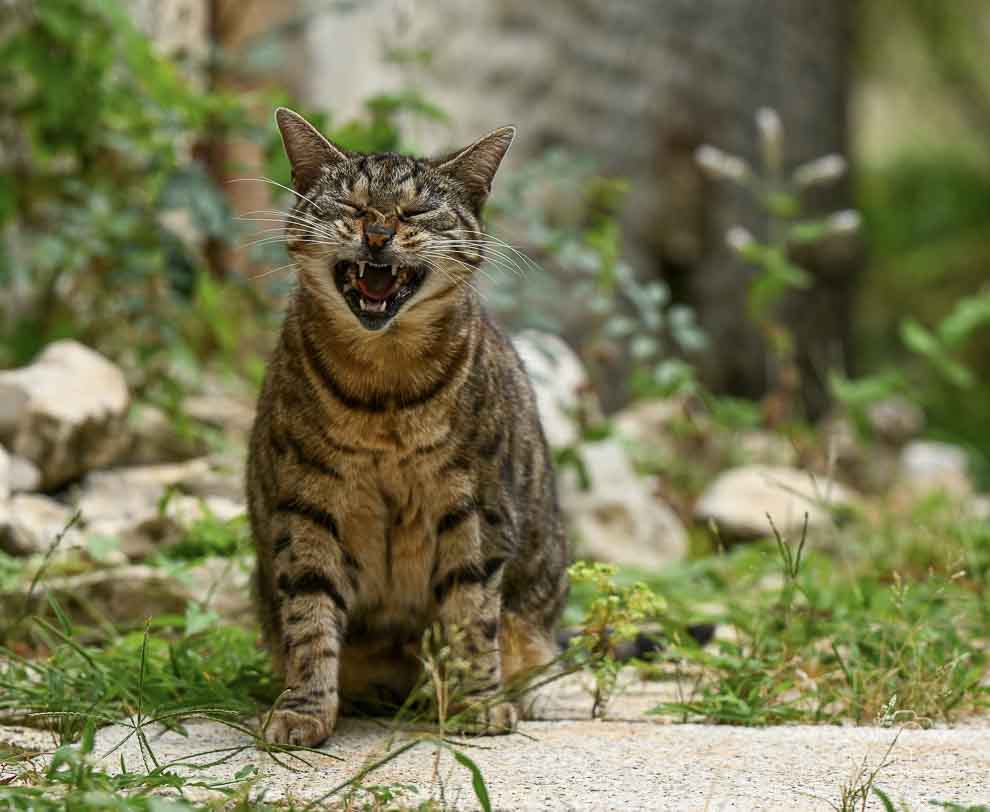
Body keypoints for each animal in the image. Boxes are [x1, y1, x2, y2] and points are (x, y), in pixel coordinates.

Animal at [247, 108, 568, 748]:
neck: (385, 393)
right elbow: (310, 618)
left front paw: (477, 703)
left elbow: (472, 614)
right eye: (352, 205)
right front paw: (304, 709)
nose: (378, 234)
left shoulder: (477, 505)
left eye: (415, 212)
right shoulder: (307, 506)